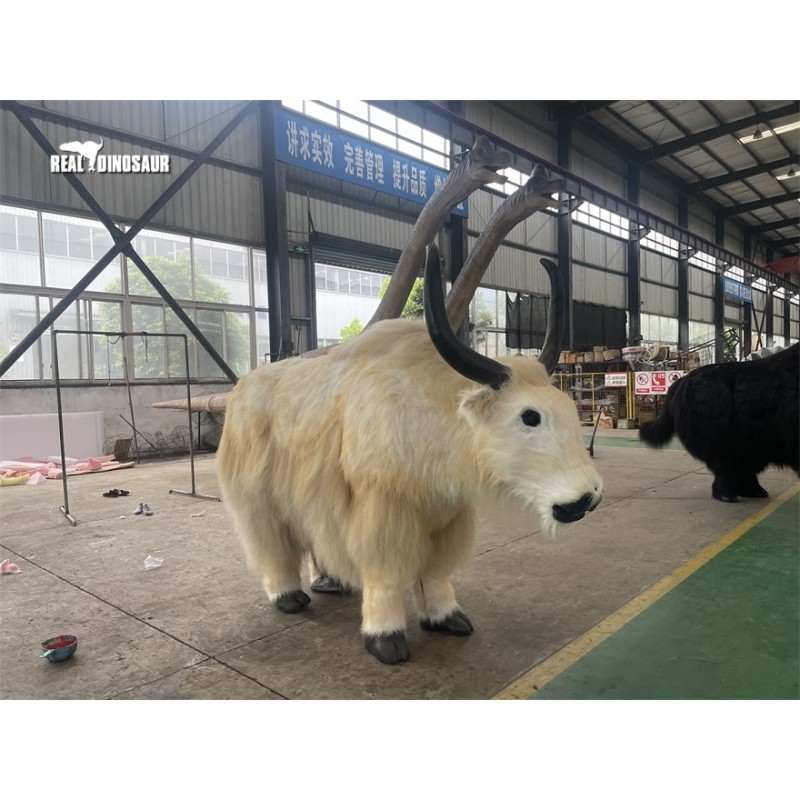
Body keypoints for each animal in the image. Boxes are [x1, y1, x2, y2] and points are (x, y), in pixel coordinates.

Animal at [216, 244, 603, 664]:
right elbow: (386, 574)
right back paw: (288, 597)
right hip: (258, 500)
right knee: (272, 546)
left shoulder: (446, 516)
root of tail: (242, 387)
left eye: (567, 408)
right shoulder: (384, 509)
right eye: (530, 416)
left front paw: (445, 617)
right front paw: (385, 637)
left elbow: (435, 573)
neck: (436, 418)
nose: (587, 498)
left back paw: (331, 582)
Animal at [639, 342, 799, 502]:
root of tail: (682, 381)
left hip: (750, 446)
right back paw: (727, 495)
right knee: (726, 469)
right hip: (723, 442)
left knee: (743, 469)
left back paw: (755, 491)